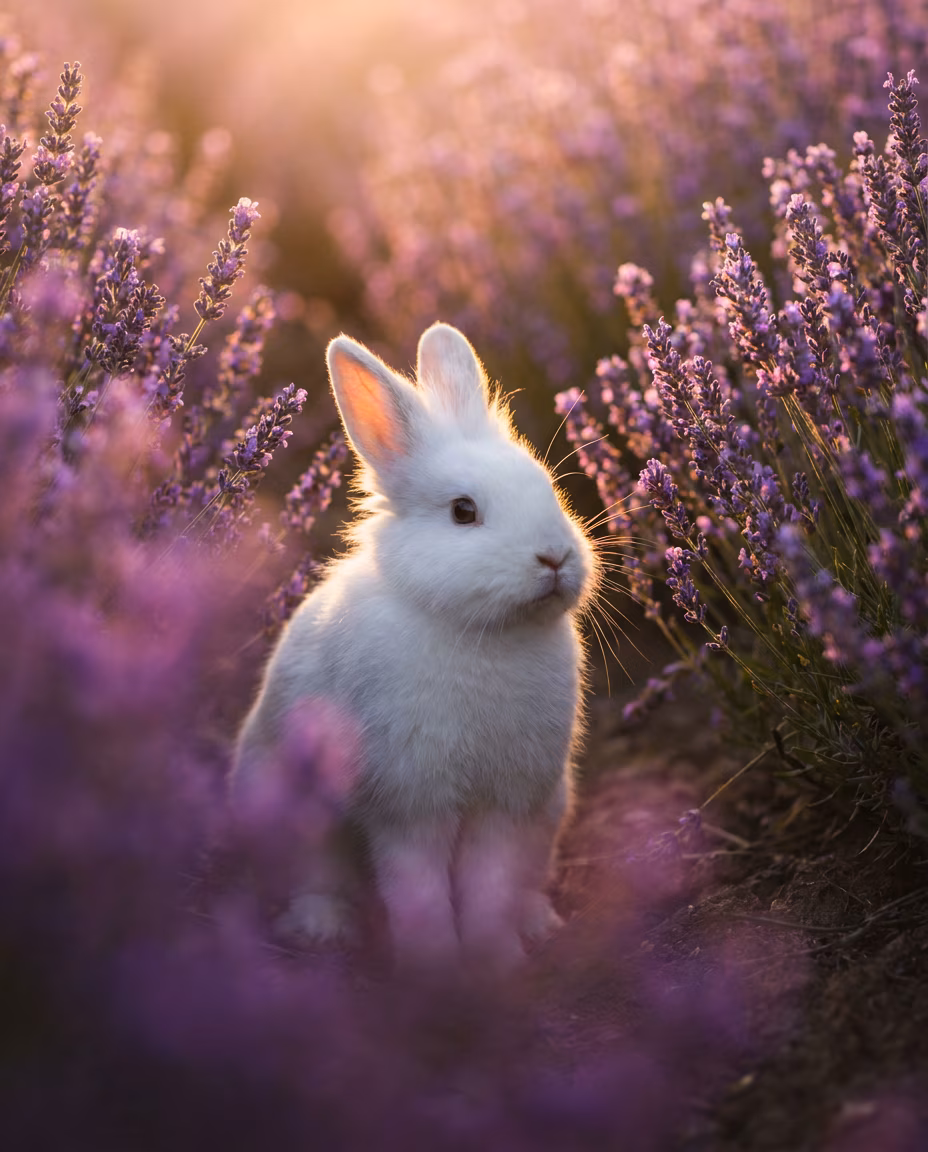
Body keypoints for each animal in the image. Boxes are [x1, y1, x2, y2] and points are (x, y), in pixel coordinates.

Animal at [231, 322, 599, 972]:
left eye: (548, 489)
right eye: (463, 512)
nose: (555, 558)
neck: (480, 632)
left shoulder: (505, 807)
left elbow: (488, 884)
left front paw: (497, 959)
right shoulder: (409, 806)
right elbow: (418, 887)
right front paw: (436, 966)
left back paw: (536, 921)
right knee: (313, 882)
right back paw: (324, 928)